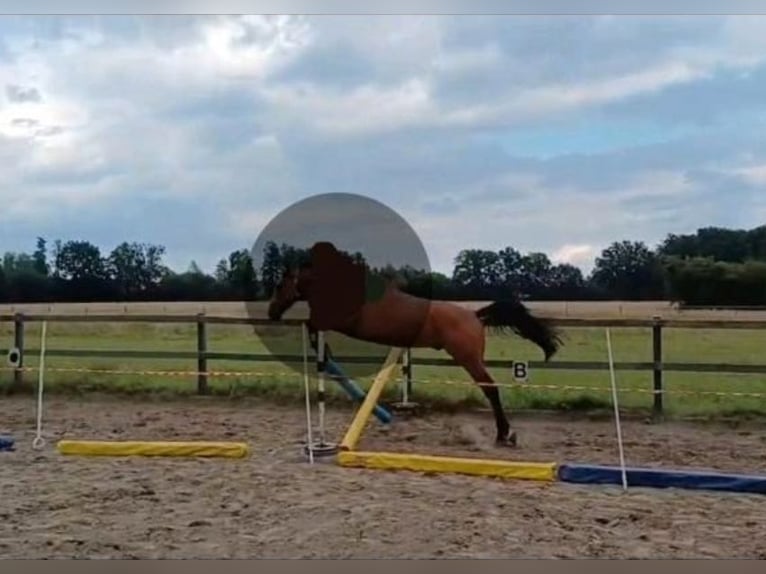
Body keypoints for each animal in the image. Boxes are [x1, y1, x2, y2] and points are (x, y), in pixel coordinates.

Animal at [266, 241, 563, 447]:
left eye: (281, 285)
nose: (271, 313)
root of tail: (475, 315)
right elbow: (314, 325)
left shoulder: (344, 321)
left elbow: (313, 324)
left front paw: (322, 351)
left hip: (468, 359)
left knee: (490, 389)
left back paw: (504, 434)